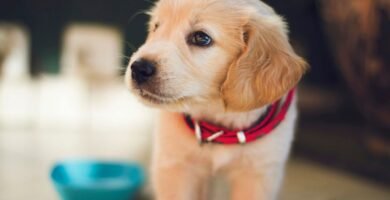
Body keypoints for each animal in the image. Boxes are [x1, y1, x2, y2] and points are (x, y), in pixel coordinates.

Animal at [125, 0, 308, 199]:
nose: (138, 68)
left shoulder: (259, 173)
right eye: (156, 27)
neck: (218, 123)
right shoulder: (175, 166)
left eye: (201, 38)